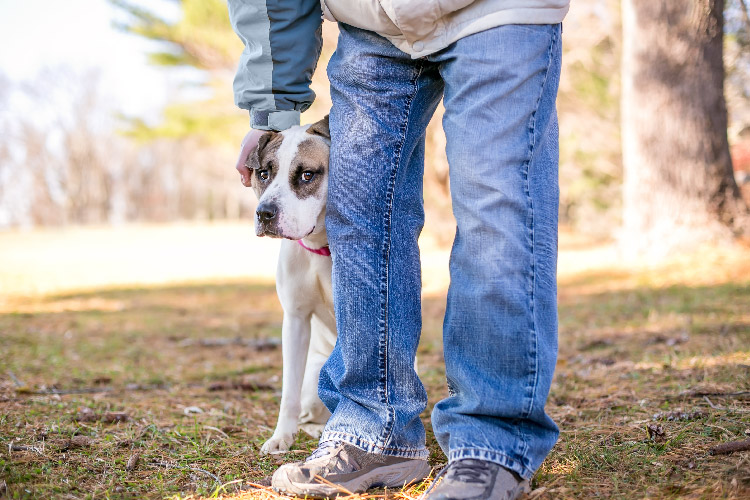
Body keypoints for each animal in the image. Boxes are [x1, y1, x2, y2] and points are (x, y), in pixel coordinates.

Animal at [248, 116, 336, 454]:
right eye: (263, 174)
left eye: (307, 174)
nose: (264, 213)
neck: (322, 247)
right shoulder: (296, 320)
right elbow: (289, 392)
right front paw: (281, 437)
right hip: (314, 384)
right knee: (309, 411)